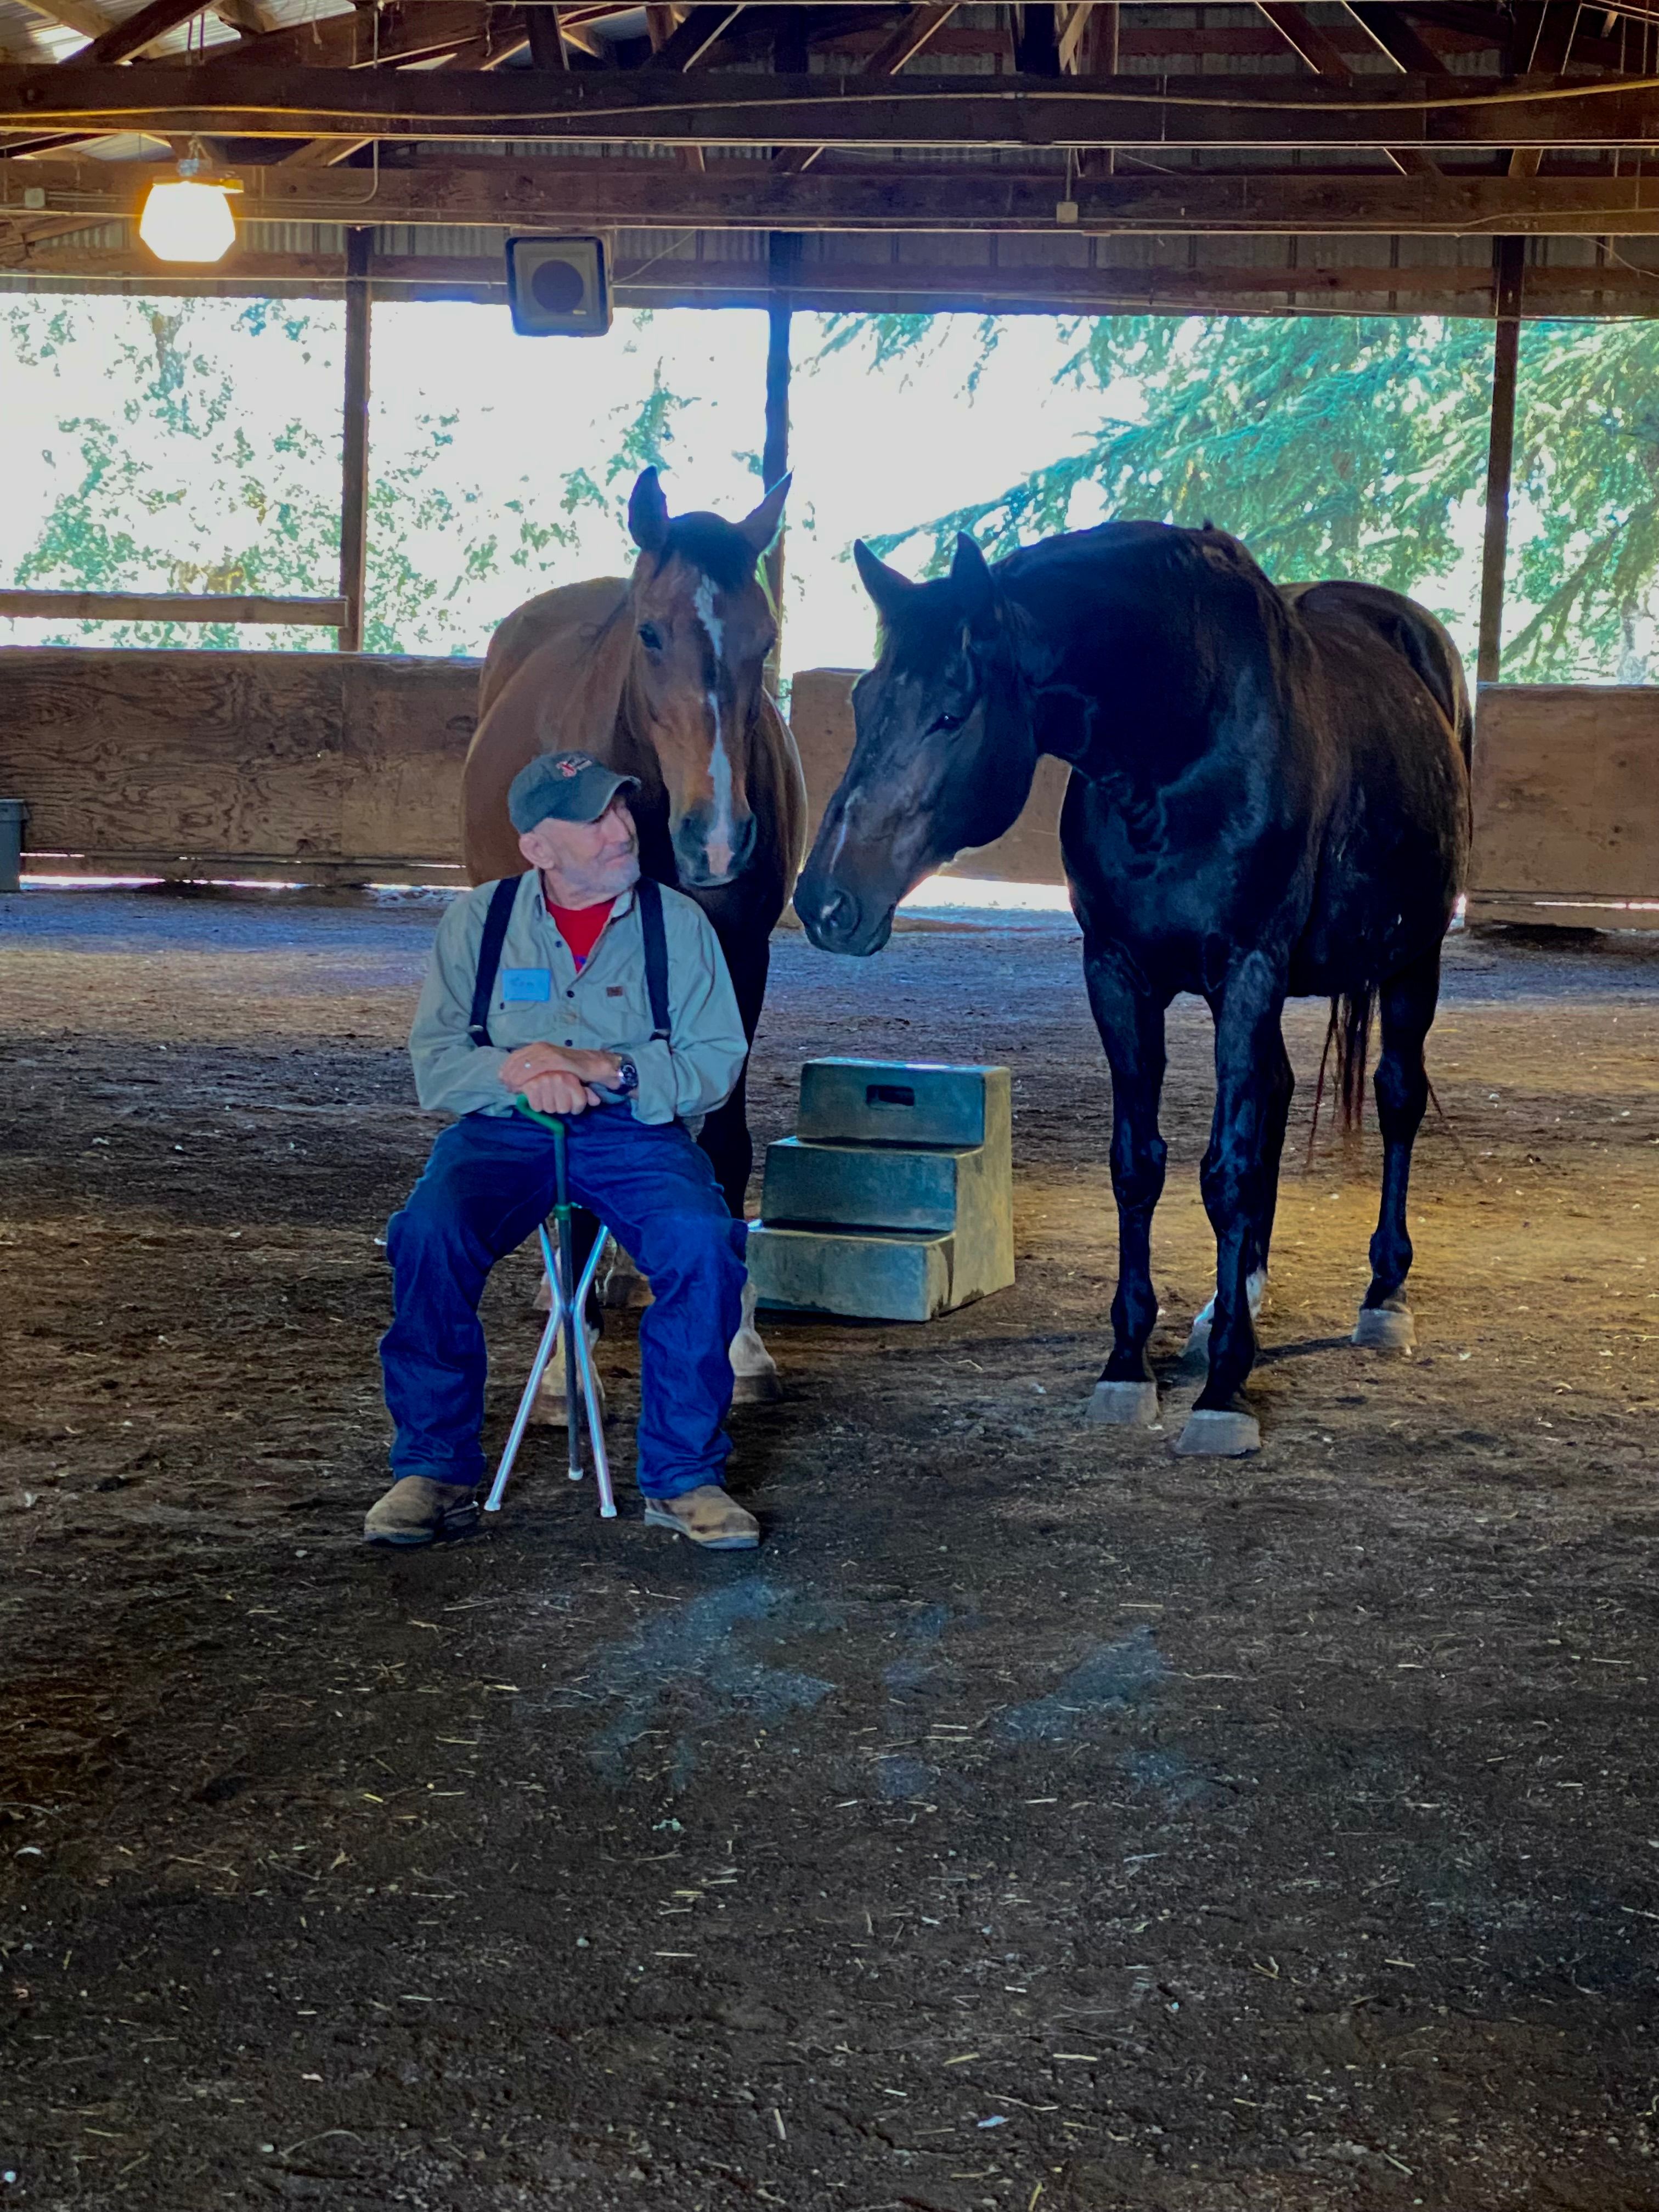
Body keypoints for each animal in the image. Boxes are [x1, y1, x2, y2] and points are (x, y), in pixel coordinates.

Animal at [463, 466, 808, 1399]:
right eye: (650, 634)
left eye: (765, 641)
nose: (718, 840)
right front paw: (563, 1365)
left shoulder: (741, 960)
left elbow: (721, 1140)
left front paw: (740, 1342)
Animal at [793, 519, 1470, 1457]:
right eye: (862, 704)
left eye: (950, 713)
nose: (825, 903)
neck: (1184, 743)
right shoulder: (1117, 975)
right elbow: (1139, 1166)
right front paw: (1130, 1362)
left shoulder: (1249, 968)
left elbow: (1226, 1171)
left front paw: (1225, 1389)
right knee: (1275, 1098)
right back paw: (1236, 1297)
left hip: (1413, 960)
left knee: (1398, 1098)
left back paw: (1383, 1296)